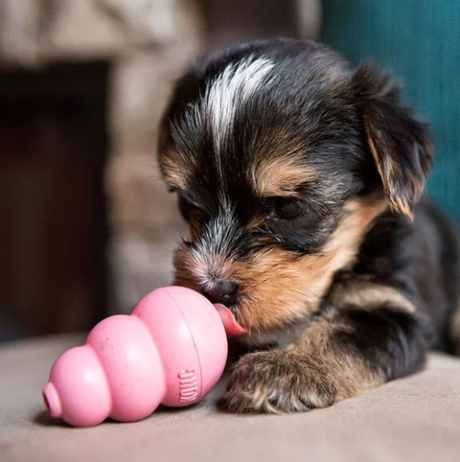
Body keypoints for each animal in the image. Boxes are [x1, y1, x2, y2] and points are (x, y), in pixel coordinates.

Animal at [156, 39, 460, 414]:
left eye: (288, 207)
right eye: (188, 202)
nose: (214, 289)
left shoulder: (393, 309)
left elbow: (340, 335)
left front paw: (287, 367)